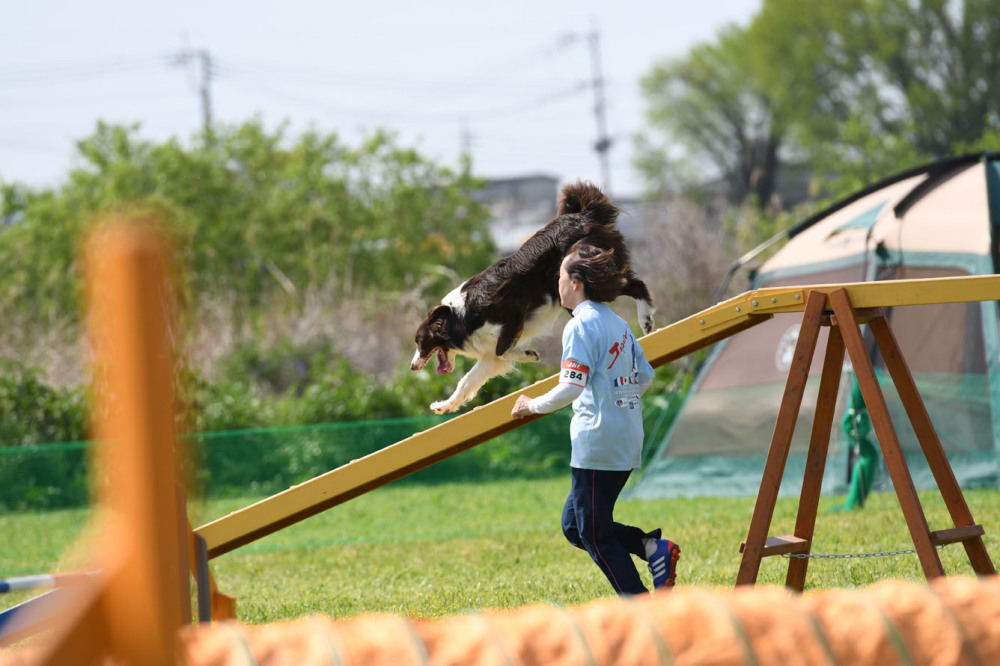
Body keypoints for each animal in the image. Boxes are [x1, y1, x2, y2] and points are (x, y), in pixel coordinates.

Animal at [408, 179, 656, 412]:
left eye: (420, 341)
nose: (412, 366)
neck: (460, 318)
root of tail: (581, 214)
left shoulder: (512, 307)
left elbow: (502, 349)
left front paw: (528, 354)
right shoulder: (488, 352)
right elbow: (468, 380)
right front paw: (444, 405)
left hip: (580, 279)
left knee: (635, 284)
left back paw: (646, 320)